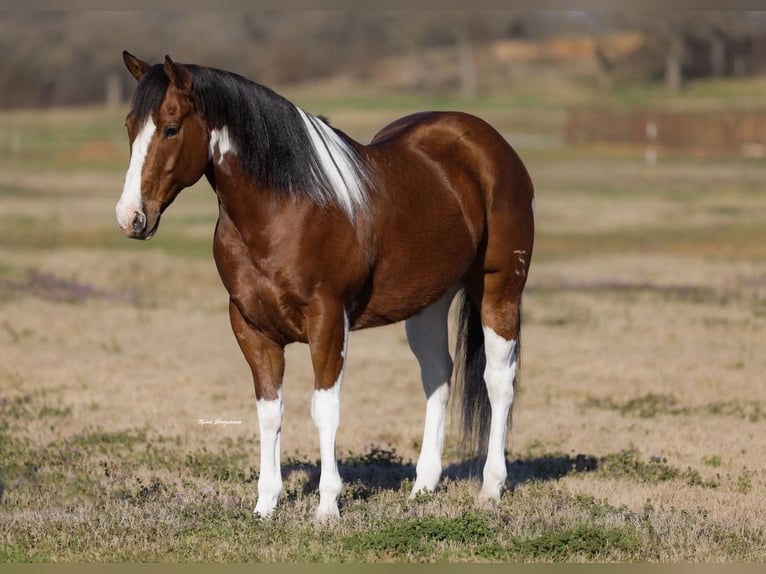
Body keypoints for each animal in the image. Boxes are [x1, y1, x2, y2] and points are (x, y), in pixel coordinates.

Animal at [116, 51, 535, 520]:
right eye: (129, 126)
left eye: (171, 127)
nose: (131, 217)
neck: (283, 209)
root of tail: (488, 144)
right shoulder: (251, 327)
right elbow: (269, 412)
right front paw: (265, 505)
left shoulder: (328, 320)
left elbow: (324, 408)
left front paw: (327, 506)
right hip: (428, 303)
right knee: (437, 376)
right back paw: (423, 487)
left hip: (500, 289)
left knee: (498, 380)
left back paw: (491, 488)